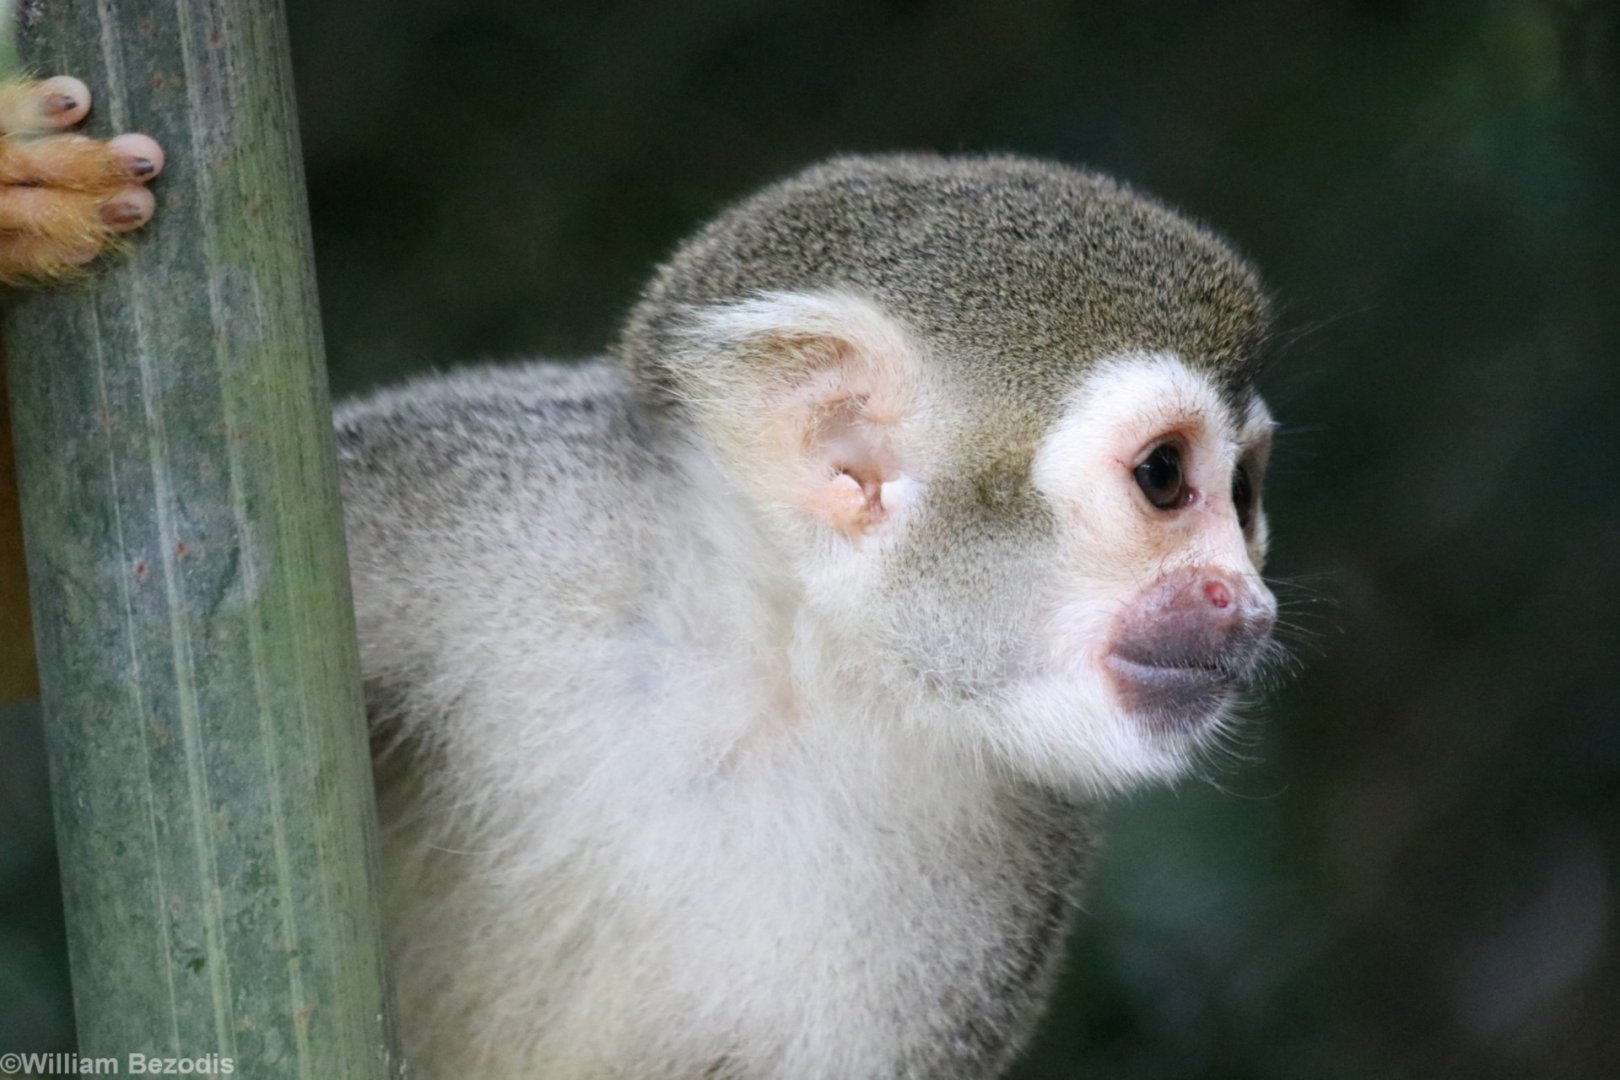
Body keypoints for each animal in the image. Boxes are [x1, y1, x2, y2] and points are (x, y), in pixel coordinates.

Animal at [7, 76, 1281, 1080]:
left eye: (1248, 492)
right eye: (1167, 479)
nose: (1249, 602)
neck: (780, 674)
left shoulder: (1006, 885)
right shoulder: (502, 497)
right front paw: (21, 208)